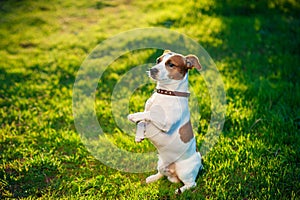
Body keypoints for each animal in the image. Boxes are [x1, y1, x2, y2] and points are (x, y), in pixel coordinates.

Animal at [127, 49, 203, 193]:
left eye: (171, 64)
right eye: (158, 60)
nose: (152, 69)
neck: (166, 93)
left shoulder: (166, 123)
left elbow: (150, 114)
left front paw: (133, 116)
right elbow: (143, 121)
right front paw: (139, 136)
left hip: (185, 171)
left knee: (192, 184)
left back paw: (180, 190)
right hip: (161, 164)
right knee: (162, 174)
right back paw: (152, 178)